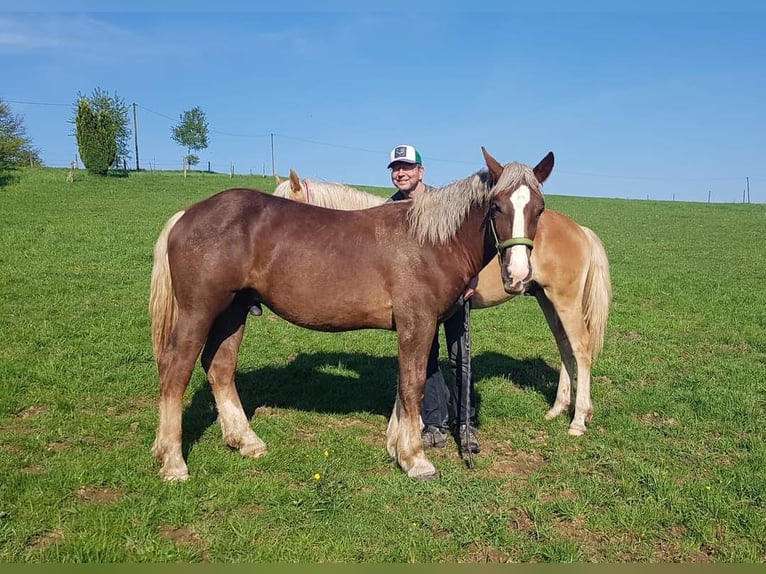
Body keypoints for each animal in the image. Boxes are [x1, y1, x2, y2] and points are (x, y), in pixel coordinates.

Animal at [150, 147, 556, 482]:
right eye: (496, 206)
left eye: (539, 209)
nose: (518, 276)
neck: (429, 241)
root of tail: (187, 214)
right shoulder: (418, 323)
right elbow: (412, 384)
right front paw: (415, 459)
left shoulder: (418, 326)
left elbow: (405, 382)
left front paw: (396, 446)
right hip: (199, 311)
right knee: (175, 369)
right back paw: (174, 462)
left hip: (233, 312)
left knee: (220, 367)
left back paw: (246, 441)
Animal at [276, 169, 612, 438]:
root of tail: (580, 230)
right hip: (546, 299)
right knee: (565, 348)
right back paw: (558, 409)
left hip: (565, 300)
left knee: (581, 349)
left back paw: (578, 420)